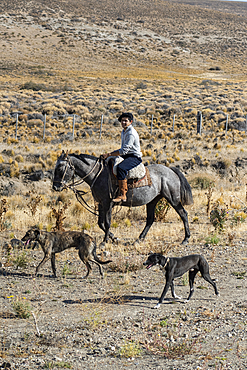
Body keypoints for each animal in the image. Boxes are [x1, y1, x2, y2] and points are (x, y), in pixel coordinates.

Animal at [53, 151, 194, 246]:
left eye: (60, 167)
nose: (55, 187)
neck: (98, 175)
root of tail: (171, 170)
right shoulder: (100, 203)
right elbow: (100, 223)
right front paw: (114, 238)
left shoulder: (108, 203)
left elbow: (107, 222)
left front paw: (104, 241)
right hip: (152, 201)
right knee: (150, 219)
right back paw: (139, 239)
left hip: (173, 199)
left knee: (183, 214)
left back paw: (186, 239)